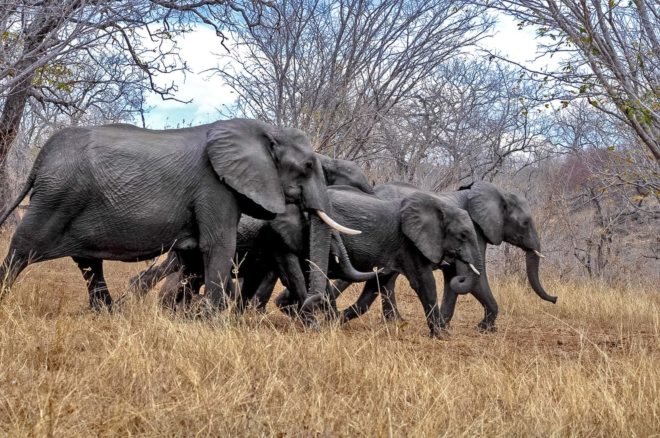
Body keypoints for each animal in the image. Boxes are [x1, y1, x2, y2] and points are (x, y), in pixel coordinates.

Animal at [0, 119, 359, 311]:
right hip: (57, 197)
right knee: (23, 247)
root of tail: (40, 159)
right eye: (308, 166)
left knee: (88, 261)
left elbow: (193, 255)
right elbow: (218, 246)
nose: (310, 305)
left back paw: (108, 312)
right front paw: (214, 320)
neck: (266, 129)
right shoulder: (215, 186)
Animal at [263, 185, 484, 337]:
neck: (439, 205)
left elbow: (376, 286)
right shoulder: (408, 243)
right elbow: (424, 283)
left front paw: (336, 322)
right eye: (463, 235)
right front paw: (441, 336)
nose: (452, 270)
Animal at [331, 181, 557, 331]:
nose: (555, 298)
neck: (496, 192)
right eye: (525, 223)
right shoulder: (475, 231)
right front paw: (485, 329)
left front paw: (445, 325)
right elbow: (473, 277)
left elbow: (454, 278)